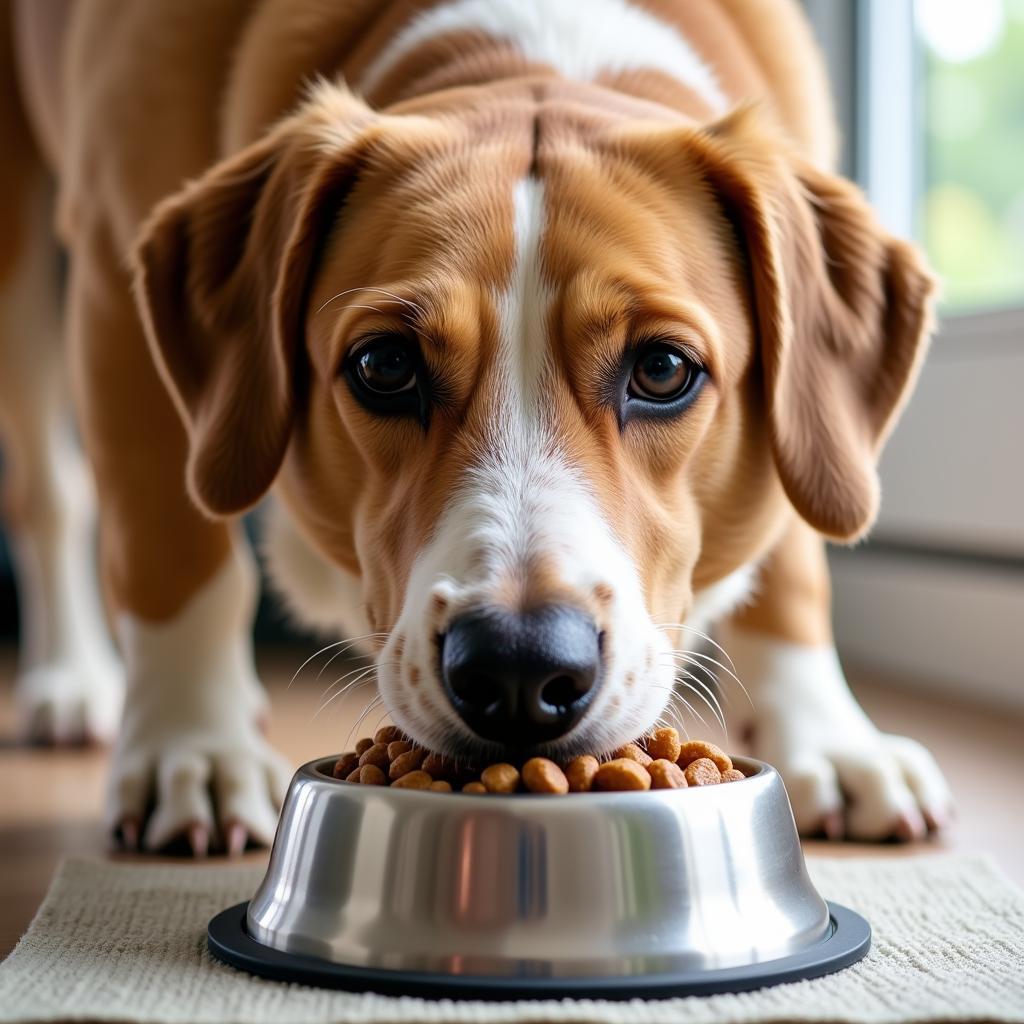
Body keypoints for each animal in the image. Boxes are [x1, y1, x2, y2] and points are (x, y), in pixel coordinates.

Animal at [4, 0, 954, 851]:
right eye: (385, 365)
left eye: (663, 369)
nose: (520, 664)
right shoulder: (111, 292)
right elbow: (174, 554)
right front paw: (193, 747)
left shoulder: (809, 411)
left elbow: (792, 555)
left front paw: (828, 738)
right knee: (51, 495)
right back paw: (79, 680)